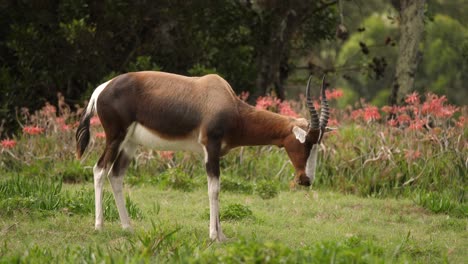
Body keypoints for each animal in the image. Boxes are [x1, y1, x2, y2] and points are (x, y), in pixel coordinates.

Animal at [76, 71, 330, 240]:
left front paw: (222, 235)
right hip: (115, 138)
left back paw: (128, 227)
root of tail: (102, 89)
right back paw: (99, 226)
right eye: (306, 143)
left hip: (130, 144)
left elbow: (217, 189)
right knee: (99, 169)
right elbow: (213, 189)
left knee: (116, 175)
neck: (225, 99)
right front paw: (214, 236)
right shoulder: (211, 148)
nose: (306, 180)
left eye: (318, 145)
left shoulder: (215, 153)